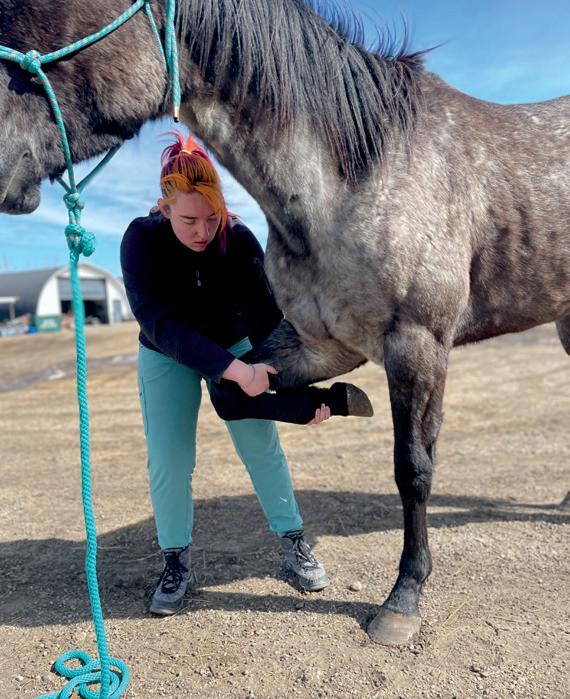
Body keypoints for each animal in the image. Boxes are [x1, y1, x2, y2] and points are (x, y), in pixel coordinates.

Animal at [1, 0, 569, 646]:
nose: (1, 169)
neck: (360, 176)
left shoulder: (418, 345)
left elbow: (414, 469)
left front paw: (402, 599)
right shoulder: (323, 344)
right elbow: (233, 392)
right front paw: (338, 400)